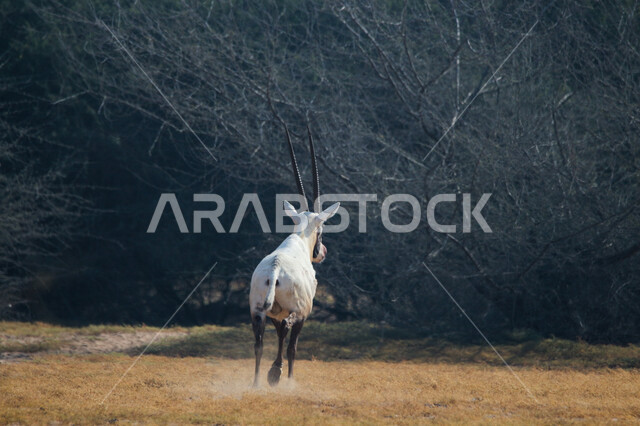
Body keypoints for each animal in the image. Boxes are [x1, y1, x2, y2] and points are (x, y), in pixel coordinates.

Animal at [249, 125, 339, 387]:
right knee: (289, 335)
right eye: (322, 229)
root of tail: (275, 270)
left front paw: (273, 372)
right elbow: (291, 345)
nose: (322, 253)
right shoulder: (304, 314)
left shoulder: (273, 314)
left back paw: (257, 381)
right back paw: (278, 376)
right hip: (297, 311)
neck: (297, 240)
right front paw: (281, 374)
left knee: (259, 343)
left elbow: (278, 335)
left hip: (258, 312)